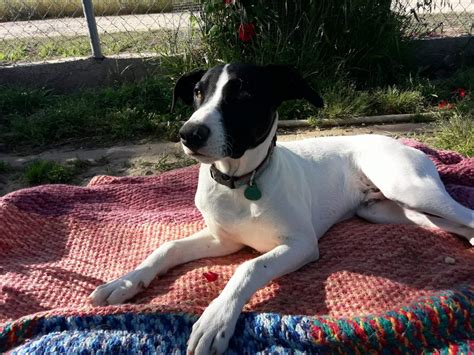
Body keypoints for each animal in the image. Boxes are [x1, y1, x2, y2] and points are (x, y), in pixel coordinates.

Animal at [90, 64, 474, 355]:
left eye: (242, 94)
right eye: (198, 92)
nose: (189, 133)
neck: (241, 182)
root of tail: (398, 141)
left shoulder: (301, 244)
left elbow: (249, 267)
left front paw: (216, 320)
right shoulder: (222, 239)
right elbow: (167, 248)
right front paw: (125, 282)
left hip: (408, 187)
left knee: (464, 214)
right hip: (381, 210)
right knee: (446, 223)